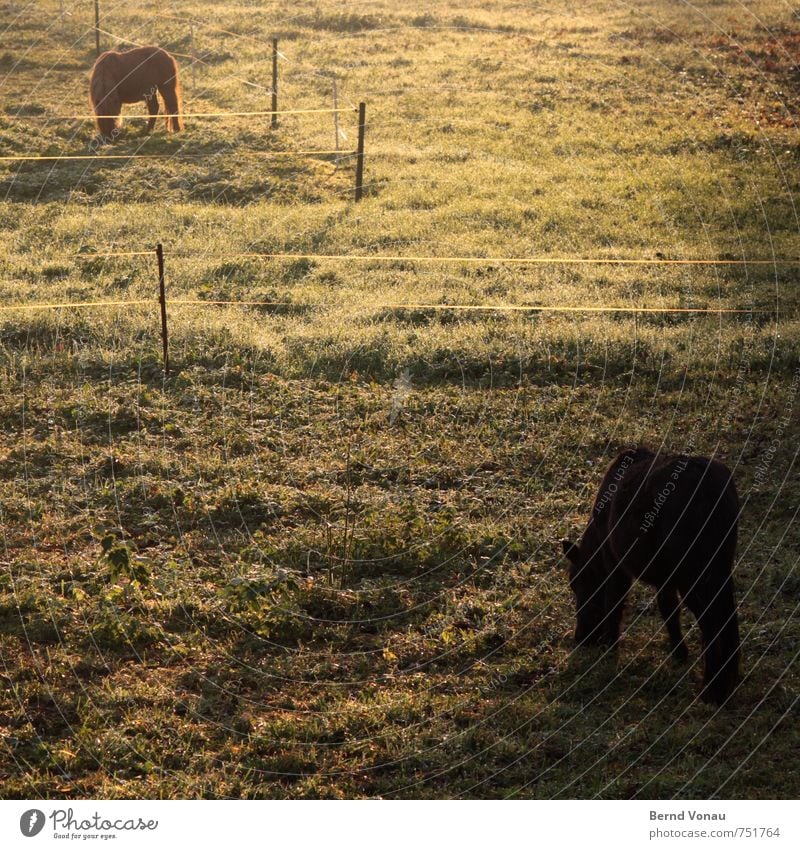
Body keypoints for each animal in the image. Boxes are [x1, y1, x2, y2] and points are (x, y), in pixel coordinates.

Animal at [560, 448, 740, 704]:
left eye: (576, 582)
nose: (581, 637)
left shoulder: (616, 564)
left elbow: (614, 604)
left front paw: (610, 649)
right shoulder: (664, 578)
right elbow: (669, 610)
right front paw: (679, 652)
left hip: (693, 573)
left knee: (713, 623)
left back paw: (712, 690)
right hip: (719, 566)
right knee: (726, 618)